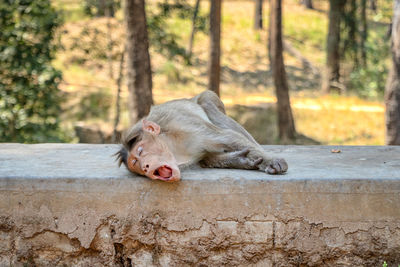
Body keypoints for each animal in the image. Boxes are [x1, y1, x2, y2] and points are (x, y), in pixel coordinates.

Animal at [115, 90, 288, 182]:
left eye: (140, 151)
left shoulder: (185, 126)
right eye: (136, 166)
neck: (175, 148)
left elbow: (228, 137)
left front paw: (271, 161)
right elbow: (206, 159)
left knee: (207, 103)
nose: (145, 166)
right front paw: (240, 160)